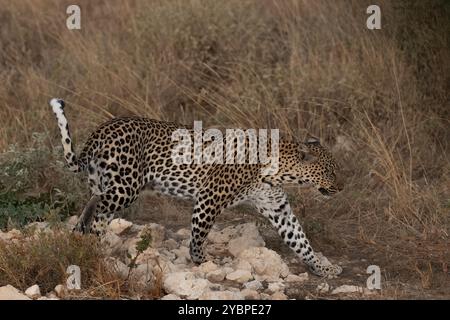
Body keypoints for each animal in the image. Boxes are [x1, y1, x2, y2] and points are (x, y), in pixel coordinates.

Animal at [50, 97, 344, 278]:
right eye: (329, 171)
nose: (341, 188)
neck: (279, 172)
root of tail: (102, 129)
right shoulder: (210, 197)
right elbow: (199, 232)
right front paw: (201, 260)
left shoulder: (277, 206)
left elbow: (300, 239)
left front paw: (322, 268)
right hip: (125, 188)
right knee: (98, 211)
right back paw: (92, 243)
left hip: (104, 184)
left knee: (90, 209)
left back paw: (84, 243)